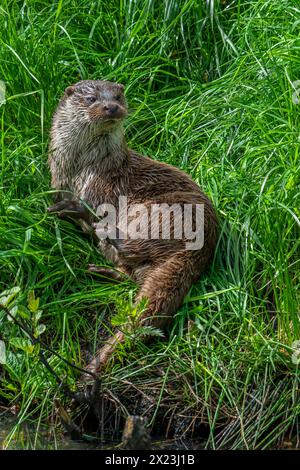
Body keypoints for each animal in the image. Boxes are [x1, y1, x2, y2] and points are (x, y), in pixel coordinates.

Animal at [48, 79, 218, 376]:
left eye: (117, 96)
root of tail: (205, 245)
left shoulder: (105, 187)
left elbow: (95, 206)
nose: (111, 107)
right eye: (92, 98)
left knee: (132, 243)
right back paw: (101, 269)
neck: (81, 169)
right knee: (133, 274)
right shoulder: (58, 183)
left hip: (168, 213)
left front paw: (77, 210)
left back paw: (105, 230)